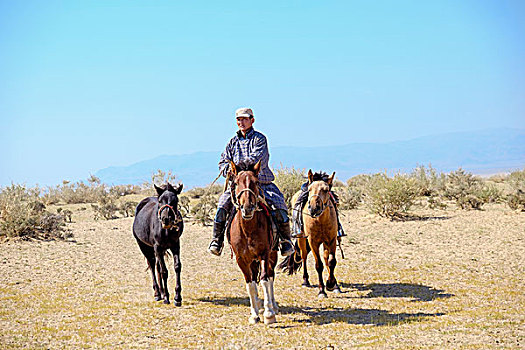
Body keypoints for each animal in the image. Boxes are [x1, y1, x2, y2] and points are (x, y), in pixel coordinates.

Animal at [228, 160, 278, 324]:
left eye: (256, 182)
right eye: (236, 182)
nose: (248, 208)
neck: (248, 230)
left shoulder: (264, 254)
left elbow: (265, 280)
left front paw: (269, 314)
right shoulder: (241, 260)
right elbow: (250, 284)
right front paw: (255, 314)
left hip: (272, 255)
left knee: (270, 276)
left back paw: (273, 305)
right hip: (252, 260)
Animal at [278, 170, 340, 298]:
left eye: (326, 190)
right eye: (310, 189)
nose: (314, 208)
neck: (320, 221)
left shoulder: (331, 240)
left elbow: (331, 261)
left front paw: (331, 284)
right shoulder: (313, 242)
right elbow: (318, 265)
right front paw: (322, 291)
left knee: (326, 258)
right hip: (301, 238)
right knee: (304, 256)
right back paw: (305, 280)